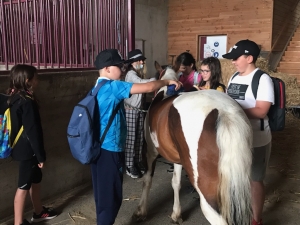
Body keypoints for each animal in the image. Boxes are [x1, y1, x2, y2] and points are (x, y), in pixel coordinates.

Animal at [132, 60, 252, 224]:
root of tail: (224, 112)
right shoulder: (178, 158)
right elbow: (176, 183)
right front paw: (176, 214)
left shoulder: (151, 152)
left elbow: (147, 180)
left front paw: (141, 211)